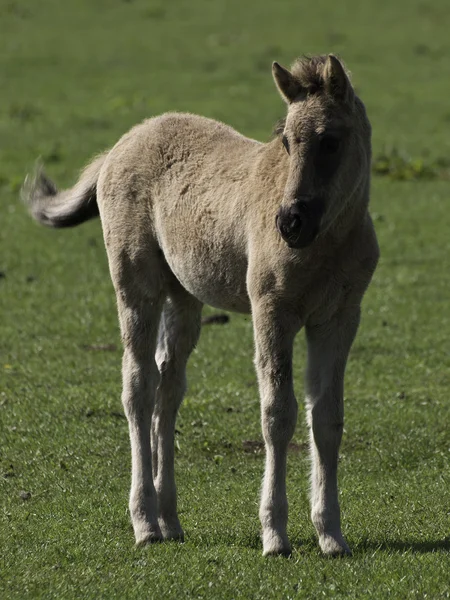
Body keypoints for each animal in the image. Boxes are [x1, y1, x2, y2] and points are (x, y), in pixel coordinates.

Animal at [23, 54, 376, 556]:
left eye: (331, 141)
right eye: (286, 140)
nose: (290, 222)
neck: (328, 246)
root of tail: (120, 145)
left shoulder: (339, 318)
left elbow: (327, 418)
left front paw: (331, 535)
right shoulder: (272, 312)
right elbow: (277, 415)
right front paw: (275, 535)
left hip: (184, 297)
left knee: (168, 389)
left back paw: (170, 520)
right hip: (137, 288)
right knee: (138, 387)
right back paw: (145, 523)